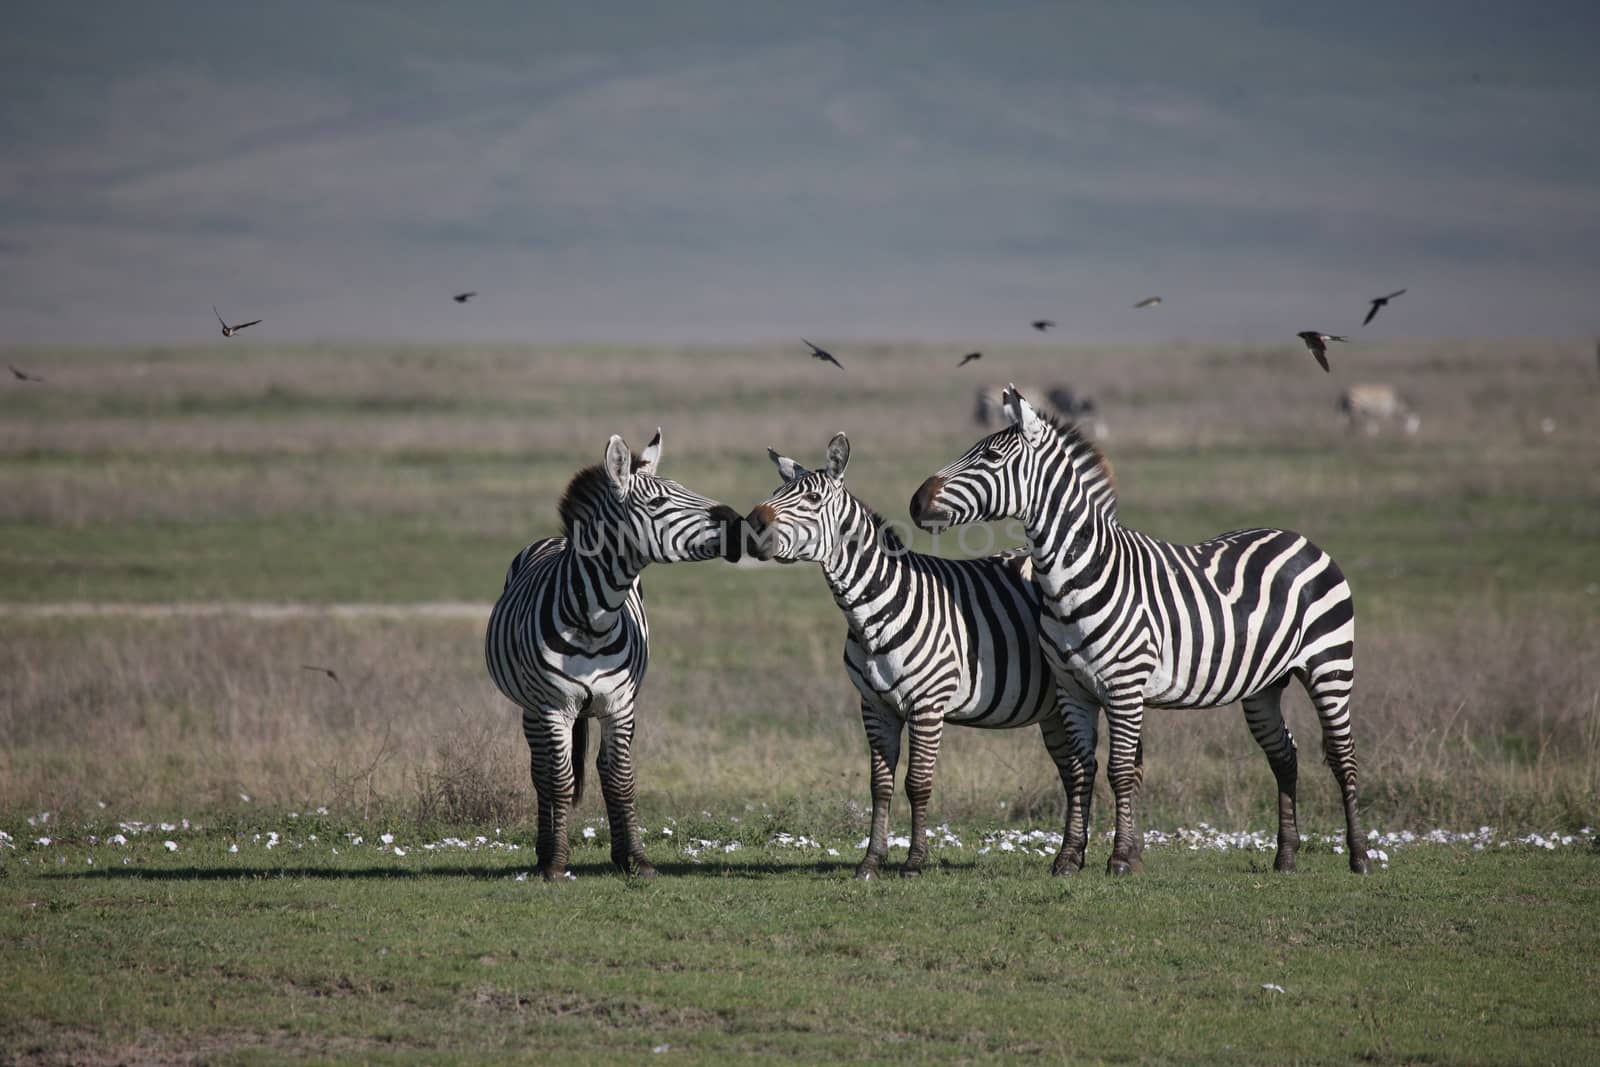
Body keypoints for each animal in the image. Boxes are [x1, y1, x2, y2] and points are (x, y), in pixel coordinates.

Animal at [483, 428, 739, 883]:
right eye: (658, 503)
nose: (739, 522)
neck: (594, 618)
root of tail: (555, 538)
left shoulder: (620, 705)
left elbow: (620, 778)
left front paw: (634, 859)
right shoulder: (554, 707)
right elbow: (560, 781)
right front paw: (556, 864)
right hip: (531, 709)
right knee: (542, 773)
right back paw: (543, 851)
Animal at [739, 428, 1068, 883]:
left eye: (812, 499)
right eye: (775, 492)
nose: (752, 523)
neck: (876, 608)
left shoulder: (927, 704)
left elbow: (917, 783)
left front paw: (914, 862)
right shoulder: (874, 705)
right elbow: (880, 785)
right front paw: (870, 861)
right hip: (1055, 706)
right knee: (1075, 771)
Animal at [908, 388, 1369, 883]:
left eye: (991, 456)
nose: (916, 502)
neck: (1076, 574)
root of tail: (1300, 538)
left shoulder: (1124, 686)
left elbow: (1120, 771)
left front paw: (1119, 859)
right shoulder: (1073, 689)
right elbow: (1082, 769)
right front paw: (1069, 857)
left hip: (1330, 666)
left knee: (1342, 754)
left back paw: (1359, 855)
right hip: (1264, 685)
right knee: (1284, 755)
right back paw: (1285, 857)